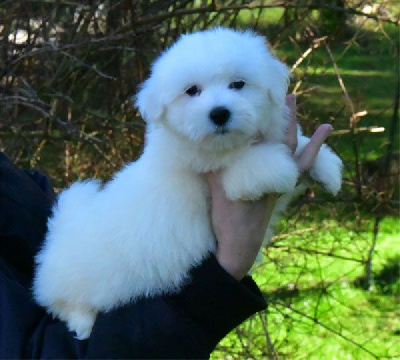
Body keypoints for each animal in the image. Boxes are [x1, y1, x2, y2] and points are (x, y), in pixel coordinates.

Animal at [32, 26, 342, 338]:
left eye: (238, 84)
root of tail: (59, 232)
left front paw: (327, 167)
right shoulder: (223, 173)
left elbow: (302, 144)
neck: (222, 145)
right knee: (61, 303)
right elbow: (252, 166)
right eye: (192, 91)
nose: (219, 113)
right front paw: (283, 166)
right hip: (73, 280)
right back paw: (82, 324)